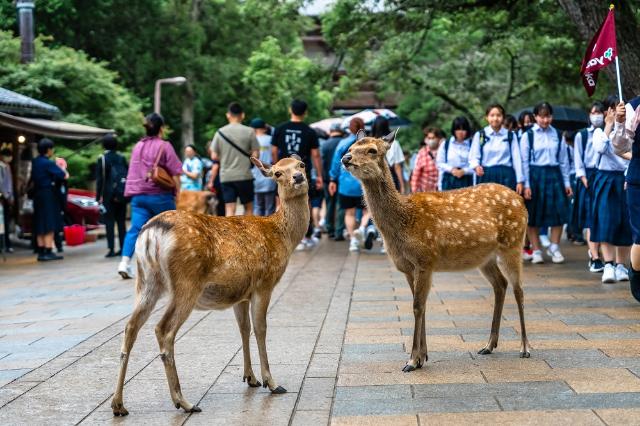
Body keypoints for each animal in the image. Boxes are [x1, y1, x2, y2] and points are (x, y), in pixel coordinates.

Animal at [111, 155, 312, 414]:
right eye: (277, 173)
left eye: (301, 165)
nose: (298, 177)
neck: (283, 236)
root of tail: (151, 233)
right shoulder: (264, 283)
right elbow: (261, 329)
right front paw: (272, 382)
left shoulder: (241, 294)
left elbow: (244, 329)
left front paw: (251, 378)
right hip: (186, 283)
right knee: (163, 329)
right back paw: (183, 401)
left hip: (146, 282)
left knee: (130, 327)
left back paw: (118, 404)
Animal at [342, 131, 532, 372]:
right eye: (351, 146)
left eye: (372, 150)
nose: (345, 158)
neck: (403, 222)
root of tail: (521, 201)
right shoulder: (407, 267)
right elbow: (419, 305)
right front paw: (422, 357)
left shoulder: (425, 260)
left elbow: (417, 306)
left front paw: (411, 361)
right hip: (485, 258)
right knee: (501, 284)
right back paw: (489, 345)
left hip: (513, 244)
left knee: (519, 290)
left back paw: (525, 348)